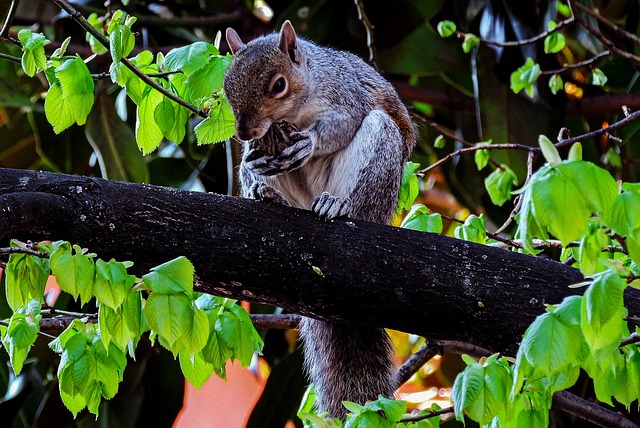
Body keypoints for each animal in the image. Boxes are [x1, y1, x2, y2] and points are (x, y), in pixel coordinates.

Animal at [222, 20, 418, 418]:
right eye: (226, 85)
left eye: (278, 85)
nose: (245, 131)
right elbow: (250, 157)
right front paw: (252, 157)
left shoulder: (348, 96)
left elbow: (342, 124)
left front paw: (309, 143)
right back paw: (267, 194)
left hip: (378, 158)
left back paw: (337, 205)